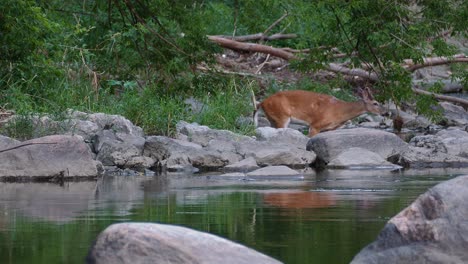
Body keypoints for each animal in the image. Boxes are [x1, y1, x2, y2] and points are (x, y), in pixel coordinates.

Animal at [254, 89, 382, 137]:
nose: (385, 112)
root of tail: (262, 102)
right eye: (375, 103)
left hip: (272, 117)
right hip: (282, 116)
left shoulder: (329, 129)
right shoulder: (316, 124)